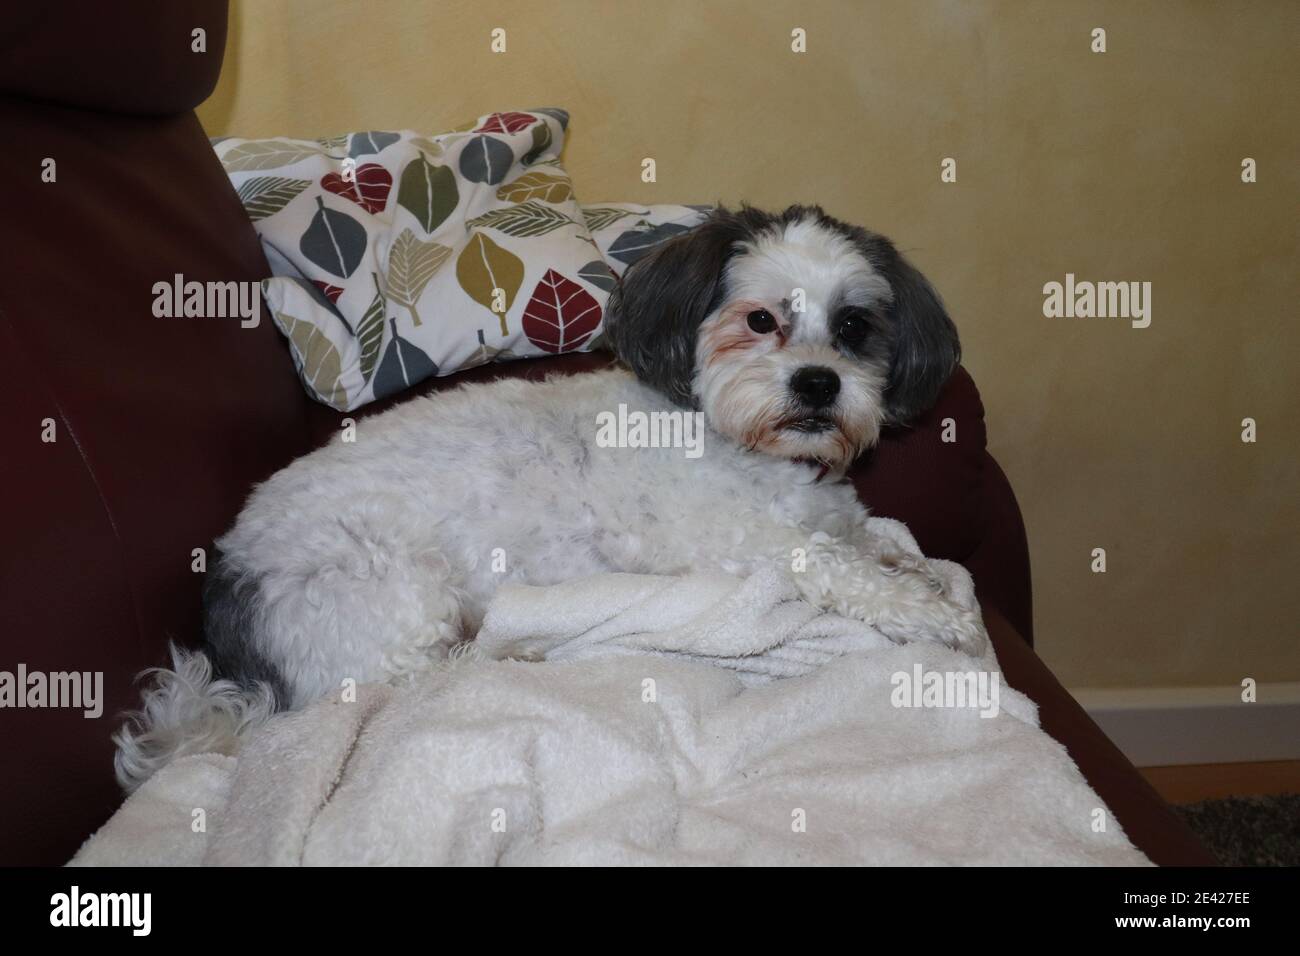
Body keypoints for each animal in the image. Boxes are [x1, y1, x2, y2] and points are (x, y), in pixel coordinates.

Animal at [114, 205, 982, 790]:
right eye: (762, 319)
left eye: (854, 327)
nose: (818, 383)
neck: (746, 446)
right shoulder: (749, 541)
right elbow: (842, 567)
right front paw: (933, 614)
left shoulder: (831, 514)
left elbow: (870, 539)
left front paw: (919, 571)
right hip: (397, 597)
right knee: (412, 686)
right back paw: (522, 649)